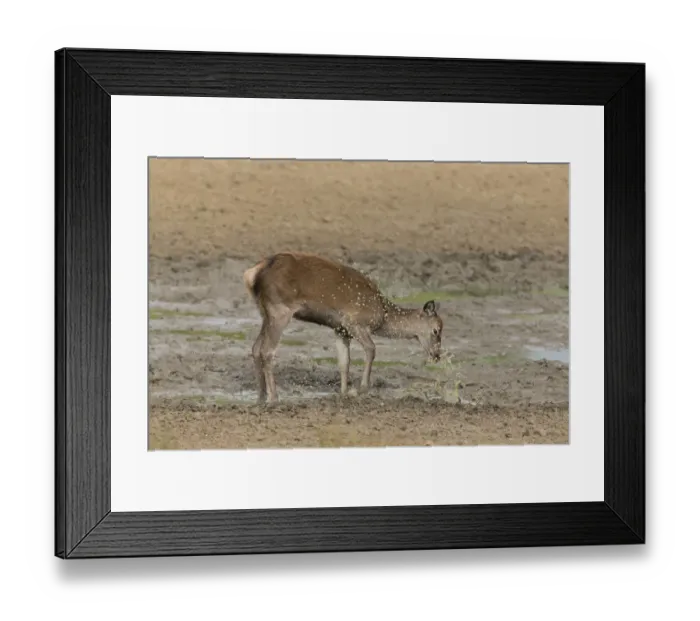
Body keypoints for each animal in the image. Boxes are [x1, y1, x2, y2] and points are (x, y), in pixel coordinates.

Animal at [243, 252, 443, 404]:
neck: (382, 314)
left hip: (265, 312)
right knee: (267, 350)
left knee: (255, 348)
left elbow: (344, 362)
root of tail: (253, 273)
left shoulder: (340, 330)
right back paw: (274, 398)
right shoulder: (353, 322)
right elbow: (371, 349)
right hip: (280, 310)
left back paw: (260, 397)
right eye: (436, 330)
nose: (437, 355)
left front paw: (344, 393)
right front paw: (359, 390)